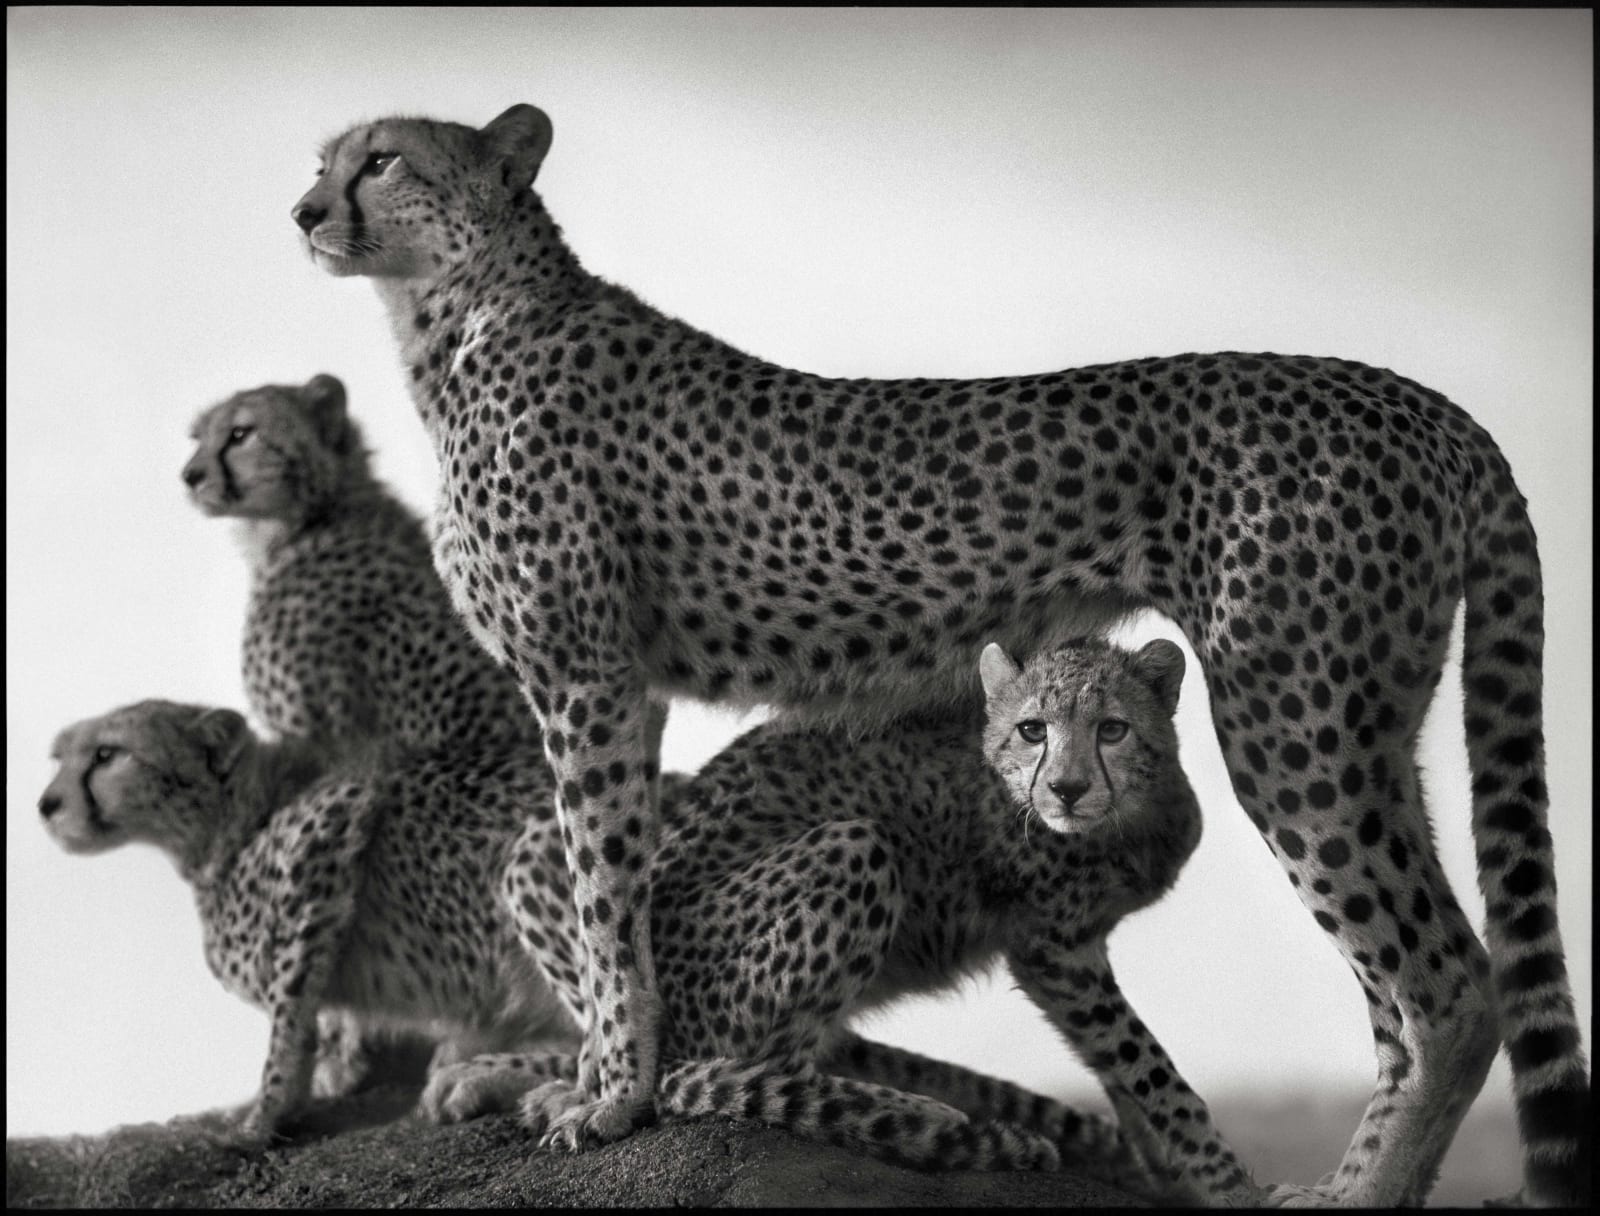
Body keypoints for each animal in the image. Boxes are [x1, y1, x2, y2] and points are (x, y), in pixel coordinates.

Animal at [37, 699, 576, 1138]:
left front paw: (263, 1115)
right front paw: (337, 1070)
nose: (46, 804)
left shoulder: (333, 816)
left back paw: (506, 1082)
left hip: (531, 857)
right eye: (59, 759)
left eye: (107, 755)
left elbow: (289, 1009)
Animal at [421, 637, 1236, 1199]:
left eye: (1112, 729)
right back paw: (923, 1114)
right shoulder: (1053, 950)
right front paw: (1223, 1176)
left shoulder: (1080, 947)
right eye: (1033, 729)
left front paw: (1162, 1171)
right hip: (854, 850)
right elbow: (1148, 1067)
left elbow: (1120, 1074)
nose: (1065, 790)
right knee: (730, 1071)